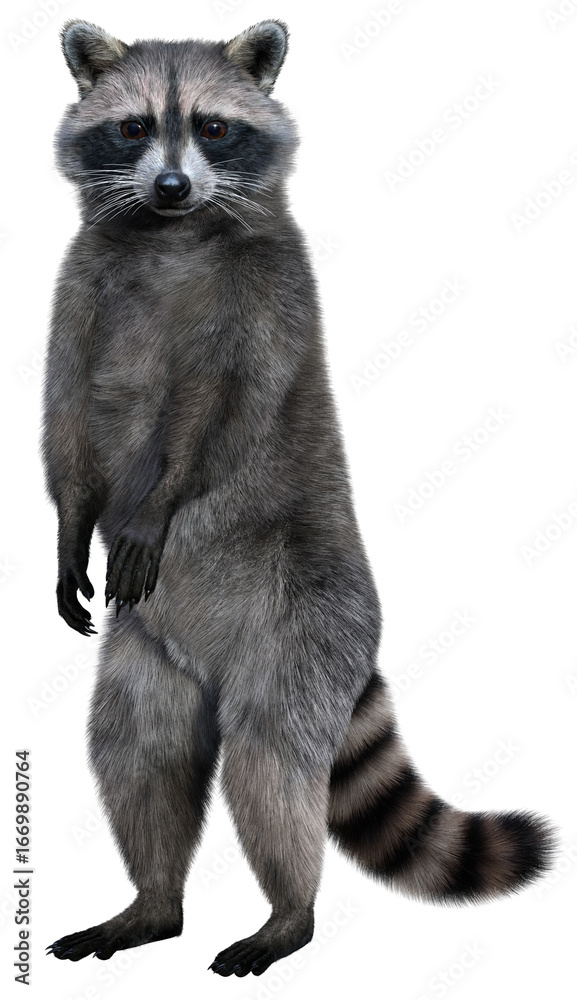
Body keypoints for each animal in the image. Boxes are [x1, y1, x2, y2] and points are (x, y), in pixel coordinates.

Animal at [43, 19, 554, 978]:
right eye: (133, 128)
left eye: (211, 127)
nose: (171, 186)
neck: (167, 231)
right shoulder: (76, 289)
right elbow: (64, 426)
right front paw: (66, 535)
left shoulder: (268, 296)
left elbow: (218, 412)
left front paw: (154, 506)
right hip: (151, 650)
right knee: (139, 746)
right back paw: (153, 904)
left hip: (302, 627)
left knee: (269, 764)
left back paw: (289, 914)